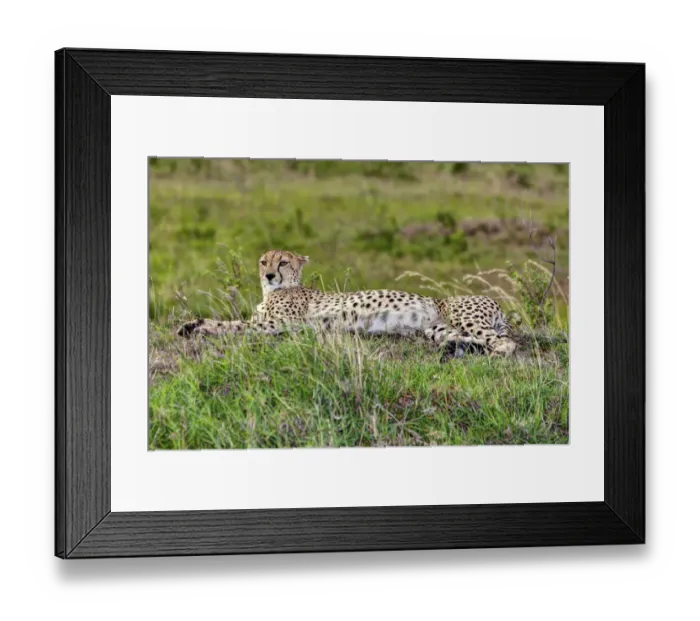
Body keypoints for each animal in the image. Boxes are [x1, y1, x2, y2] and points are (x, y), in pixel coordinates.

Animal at [177, 249, 517, 360]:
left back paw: (492, 354)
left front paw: (199, 326)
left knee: (506, 344)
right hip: (436, 329)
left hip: (465, 316)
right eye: (264, 261)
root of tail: (495, 301)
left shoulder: (281, 324)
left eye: (283, 262)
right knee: (472, 339)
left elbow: (233, 325)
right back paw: (458, 348)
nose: (270, 274)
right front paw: (190, 325)